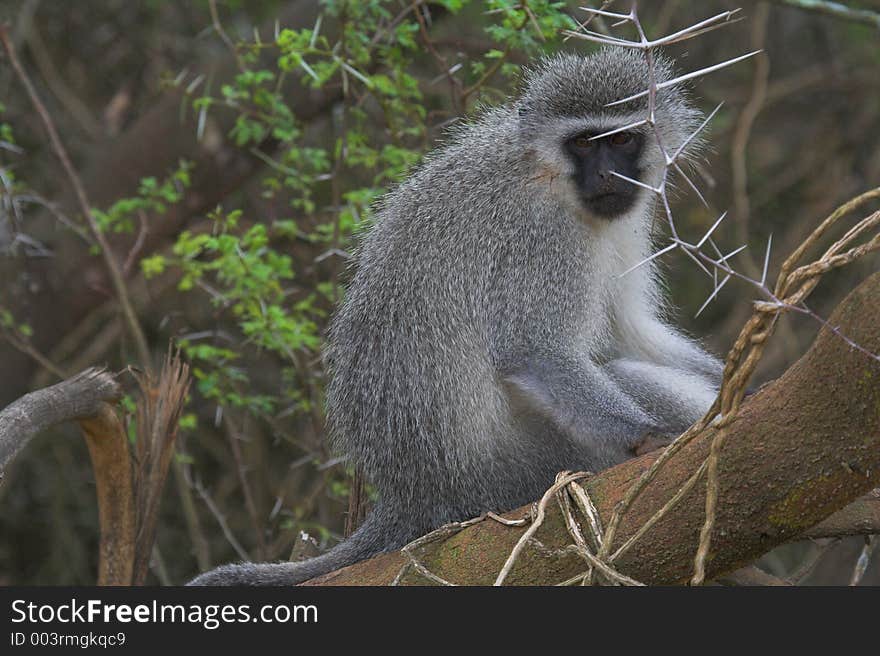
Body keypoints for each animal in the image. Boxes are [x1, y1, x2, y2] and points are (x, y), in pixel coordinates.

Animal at [189, 48, 720, 588]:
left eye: (622, 140)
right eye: (583, 143)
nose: (609, 177)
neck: (547, 173)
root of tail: (412, 495)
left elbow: (627, 331)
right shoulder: (542, 238)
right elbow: (536, 353)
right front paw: (652, 437)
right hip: (519, 469)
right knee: (616, 379)